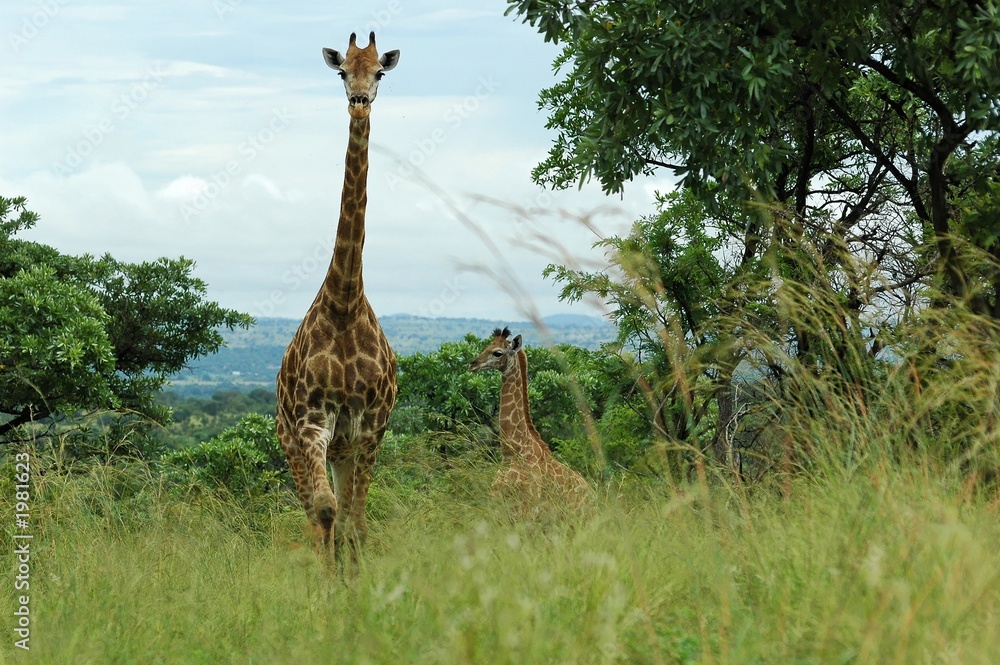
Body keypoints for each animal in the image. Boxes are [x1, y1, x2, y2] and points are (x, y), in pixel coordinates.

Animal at [468, 327, 592, 514]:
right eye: (486, 346)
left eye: (497, 353)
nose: (472, 364)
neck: (512, 453)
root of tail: (593, 494)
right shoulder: (497, 503)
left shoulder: (528, 508)